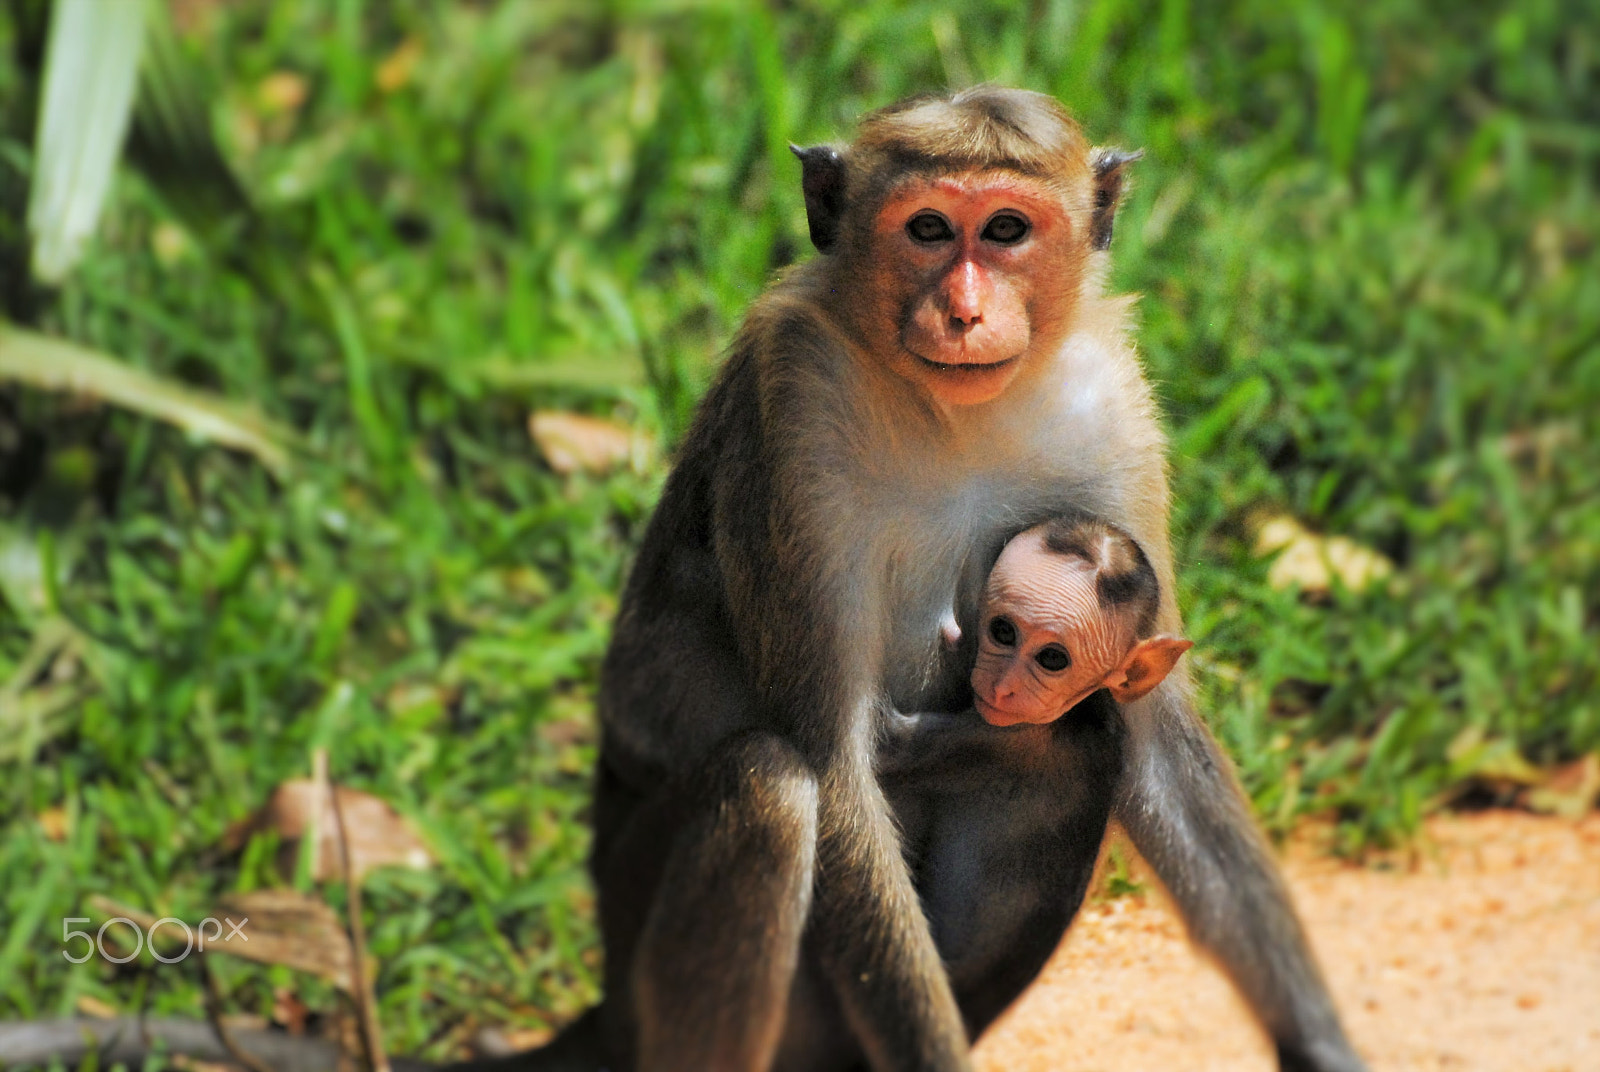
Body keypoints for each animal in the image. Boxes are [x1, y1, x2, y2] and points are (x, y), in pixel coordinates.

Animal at [483, 90, 1363, 1072]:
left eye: (1007, 228)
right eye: (930, 228)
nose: (967, 311)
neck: (953, 416)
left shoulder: (1111, 409)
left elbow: (1155, 738)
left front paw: (1321, 1042)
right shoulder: (793, 405)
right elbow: (833, 762)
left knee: (1072, 744)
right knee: (770, 786)